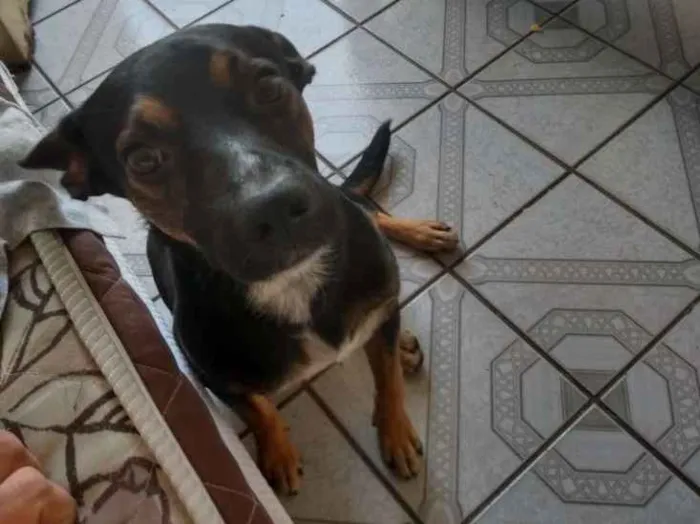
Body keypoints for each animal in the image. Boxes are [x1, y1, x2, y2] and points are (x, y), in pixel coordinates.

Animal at [20, 24, 459, 495]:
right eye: (143, 159)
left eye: (267, 87)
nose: (274, 208)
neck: (294, 282)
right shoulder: (214, 378)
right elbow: (259, 409)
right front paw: (278, 454)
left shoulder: (379, 297)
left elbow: (388, 376)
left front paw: (395, 430)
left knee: (367, 210)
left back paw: (418, 245)